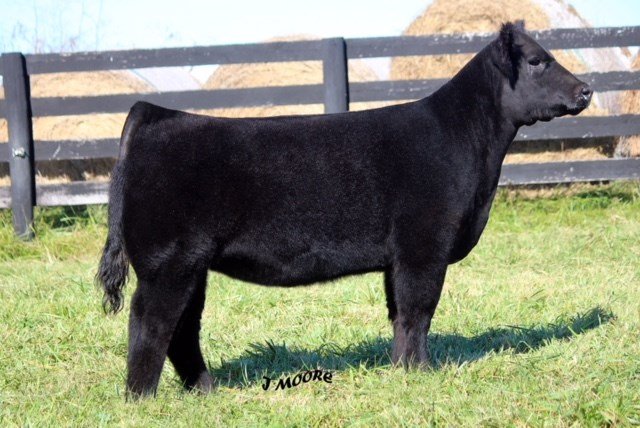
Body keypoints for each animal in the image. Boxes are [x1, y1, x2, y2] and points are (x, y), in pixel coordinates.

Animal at [97, 21, 592, 398]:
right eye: (537, 61)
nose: (586, 90)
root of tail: (154, 114)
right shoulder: (424, 246)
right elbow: (419, 311)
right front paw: (421, 372)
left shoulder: (399, 257)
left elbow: (400, 314)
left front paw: (401, 370)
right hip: (168, 262)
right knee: (151, 324)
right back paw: (141, 398)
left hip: (192, 266)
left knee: (183, 330)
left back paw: (206, 390)